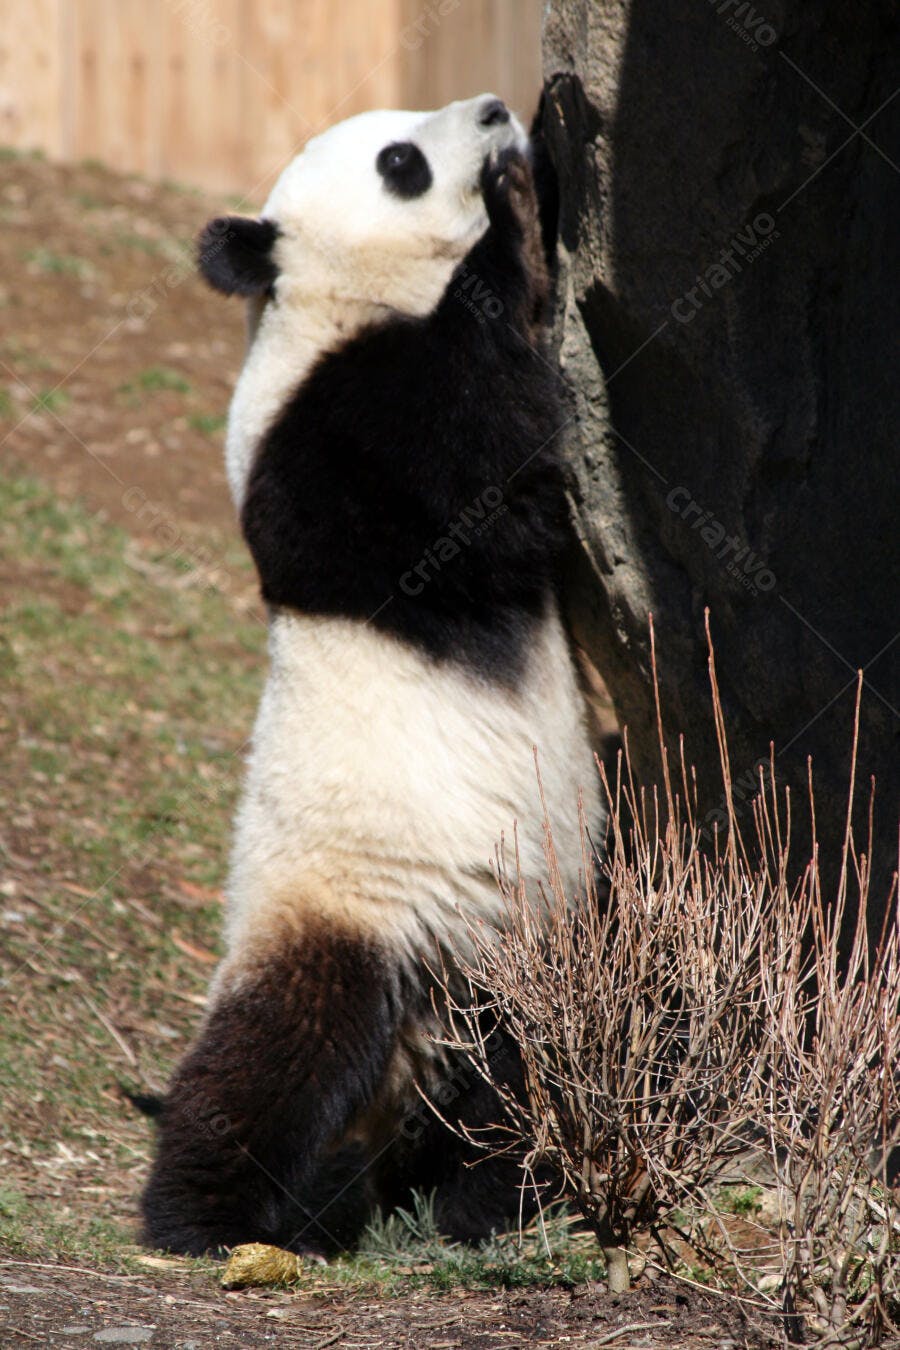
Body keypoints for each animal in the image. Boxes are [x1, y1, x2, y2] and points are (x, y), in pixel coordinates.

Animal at [140, 93, 603, 1258]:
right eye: (400, 160)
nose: (493, 110)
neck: (335, 298)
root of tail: (408, 1065)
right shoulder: (329, 426)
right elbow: (481, 491)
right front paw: (512, 213)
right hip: (344, 914)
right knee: (275, 1054)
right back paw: (197, 1213)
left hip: (519, 950)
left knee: (529, 1074)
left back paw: (492, 1198)